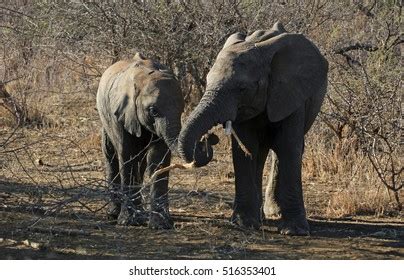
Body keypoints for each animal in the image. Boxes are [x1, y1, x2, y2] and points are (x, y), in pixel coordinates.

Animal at [95, 53, 185, 230]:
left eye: (182, 109)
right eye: (153, 111)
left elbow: (159, 159)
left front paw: (161, 225)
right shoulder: (122, 113)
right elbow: (128, 156)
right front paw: (128, 222)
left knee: (141, 163)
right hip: (105, 118)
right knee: (112, 155)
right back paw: (113, 214)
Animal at [179, 22, 328, 236]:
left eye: (242, 88)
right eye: (207, 81)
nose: (208, 138)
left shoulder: (291, 94)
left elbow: (289, 148)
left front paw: (294, 231)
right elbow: (246, 148)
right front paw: (244, 224)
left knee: (284, 150)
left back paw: (275, 213)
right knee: (261, 152)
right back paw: (262, 217)